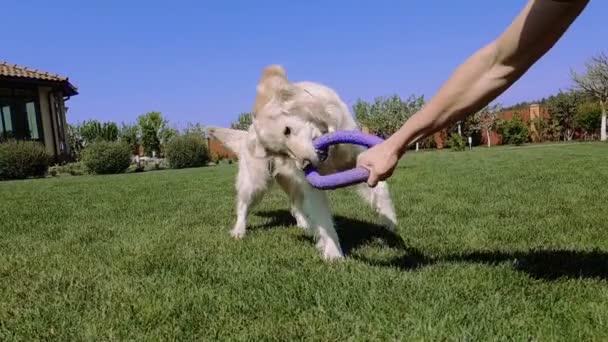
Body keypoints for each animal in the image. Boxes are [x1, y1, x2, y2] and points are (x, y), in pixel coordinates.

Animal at [209, 65, 400, 262]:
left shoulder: (358, 160)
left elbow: (381, 189)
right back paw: (239, 231)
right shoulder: (312, 187)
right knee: (243, 206)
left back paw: (305, 225)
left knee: (295, 206)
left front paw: (389, 223)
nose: (305, 165)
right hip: (256, 182)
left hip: (292, 183)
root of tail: (247, 132)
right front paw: (333, 253)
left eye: (287, 130)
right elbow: (324, 222)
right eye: (282, 152)